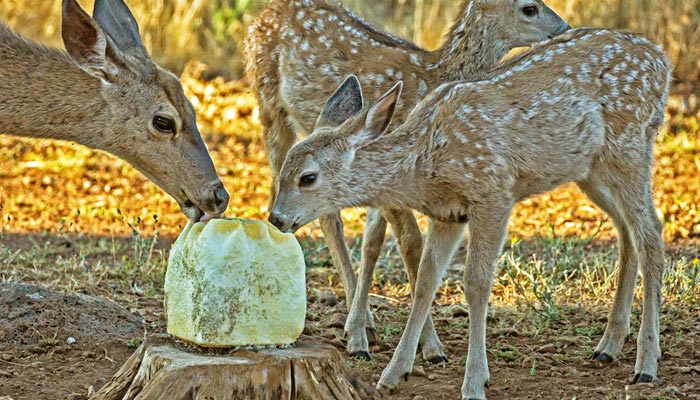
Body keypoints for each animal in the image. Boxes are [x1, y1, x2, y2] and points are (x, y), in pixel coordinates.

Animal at [246, 0, 569, 362]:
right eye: (529, 8)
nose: (564, 29)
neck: (434, 76)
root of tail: (267, 12)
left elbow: (373, 242)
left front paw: (361, 328)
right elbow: (411, 245)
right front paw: (429, 345)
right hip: (269, 103)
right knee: (299, 202)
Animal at [269, 27, 672, 399]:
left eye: (307, 177)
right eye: (285, 169)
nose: (276, 218)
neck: (425, 163)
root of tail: (662, 61)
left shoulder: (493, 193)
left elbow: (476, 284)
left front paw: (475, 381)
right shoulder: (448, 213)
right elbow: (425, 281)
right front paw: (394, 373)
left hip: (629, 146)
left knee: (652, 233)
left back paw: (646, 364)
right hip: (590, 168)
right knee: (627, 230)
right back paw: (608, 346)